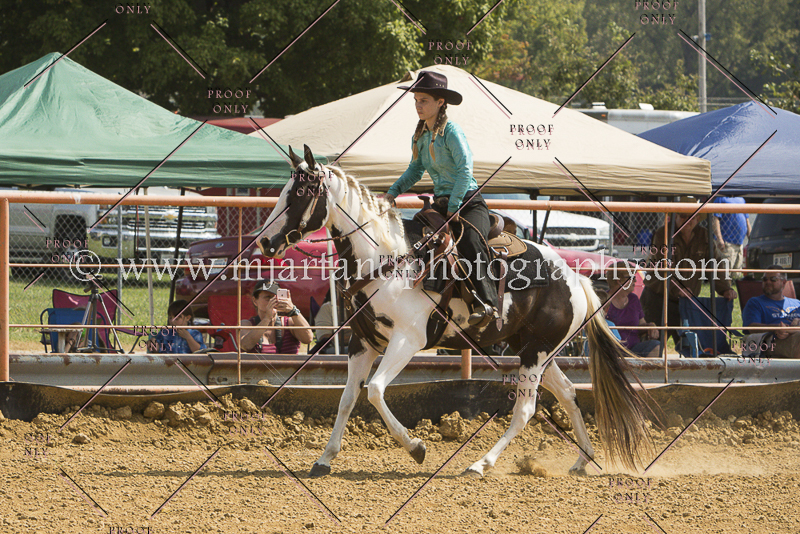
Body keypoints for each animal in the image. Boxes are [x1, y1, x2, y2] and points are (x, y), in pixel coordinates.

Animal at [258, 145, 654, 477]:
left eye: (299, 194)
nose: (264, 241)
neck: (386, 258)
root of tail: (574, 277)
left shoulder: (407, 341)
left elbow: (374, 391)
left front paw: (416, 447)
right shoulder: (363, 343)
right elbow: (347, 399)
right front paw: (325, 459)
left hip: (536, 353)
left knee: (524, 410)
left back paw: (480, 464)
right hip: (535, 349)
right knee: (569, 394)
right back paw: (582, 460)